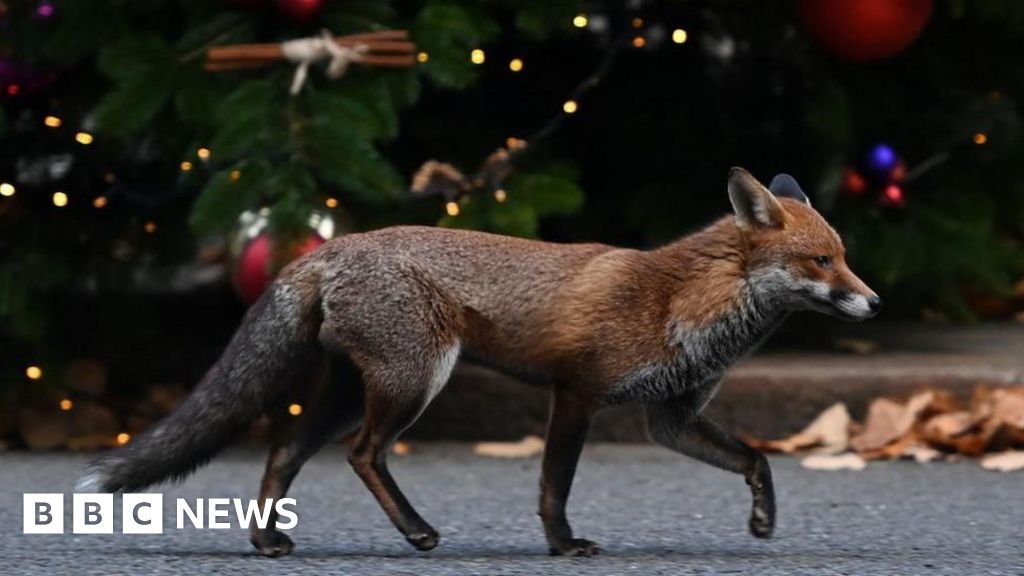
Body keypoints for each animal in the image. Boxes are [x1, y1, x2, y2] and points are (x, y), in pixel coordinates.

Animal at [77, 167, 880, 557]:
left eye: (846, 257)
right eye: (822, 262)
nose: (873, 302)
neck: (685, 299)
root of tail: (331, 247)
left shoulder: (670, 417)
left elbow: (757, 460)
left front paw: (763, 523)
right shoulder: (577, 392)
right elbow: (555, 485)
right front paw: (562, 545)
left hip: (353, 391)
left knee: (283, 452)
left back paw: (269, 540)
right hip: (413, 382)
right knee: (362, 455)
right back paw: (415, 531)